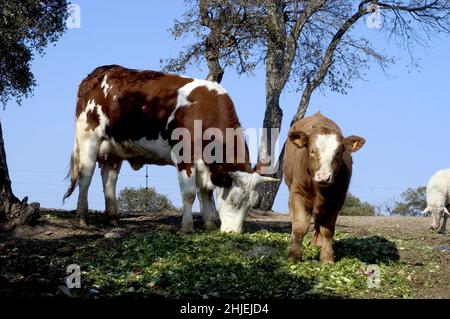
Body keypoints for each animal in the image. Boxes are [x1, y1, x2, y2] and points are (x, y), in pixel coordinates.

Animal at [63, 65, 278, 235]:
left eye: (250, 206)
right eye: (233, 201)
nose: (233, 232)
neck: (203, 111)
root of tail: (98, 72)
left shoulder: (204, 164)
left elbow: (206, 193)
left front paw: (209, 224)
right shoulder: (184, 156)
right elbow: (190, 194)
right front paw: (187, 227)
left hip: (114, 147)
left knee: (109, 178)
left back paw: (113, 218)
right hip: (88, 137)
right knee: (86, 176)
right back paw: (82, 217)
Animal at [284, 114, 366, 264]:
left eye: (338, 153)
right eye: (311, 151)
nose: (324, 176)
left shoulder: (338, 199)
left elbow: (327, 230)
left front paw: (327, 258)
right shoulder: (298, 192)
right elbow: (300, 226)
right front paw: (294, 256)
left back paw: (317, 243)